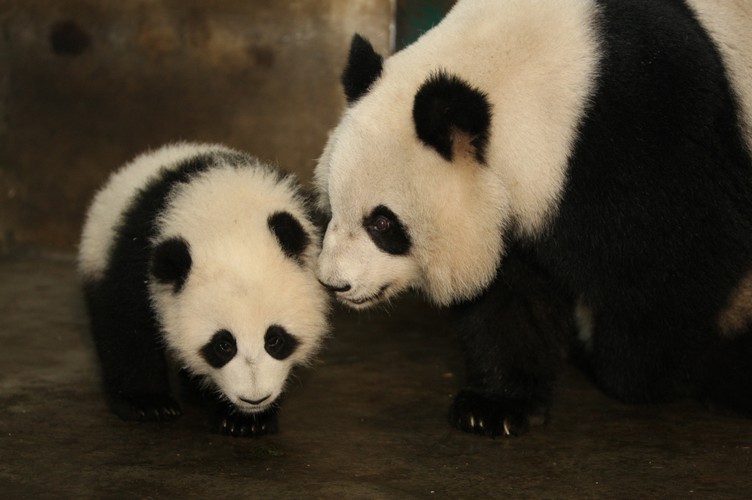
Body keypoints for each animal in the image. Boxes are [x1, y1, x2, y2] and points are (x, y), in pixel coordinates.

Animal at [78, 143, 329, 437]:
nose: (254, 399)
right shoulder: (137, 259)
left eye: (275, 340)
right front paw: (148, 404)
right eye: (223, 345)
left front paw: (245, 421)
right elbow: (128, 324)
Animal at [315, 0, 752, 437]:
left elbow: (679, 258)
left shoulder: (647, 131)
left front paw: (649, 374)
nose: (334, 284)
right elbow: (511, 295)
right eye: (333, 206)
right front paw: (497, 405)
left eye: (382, 223)